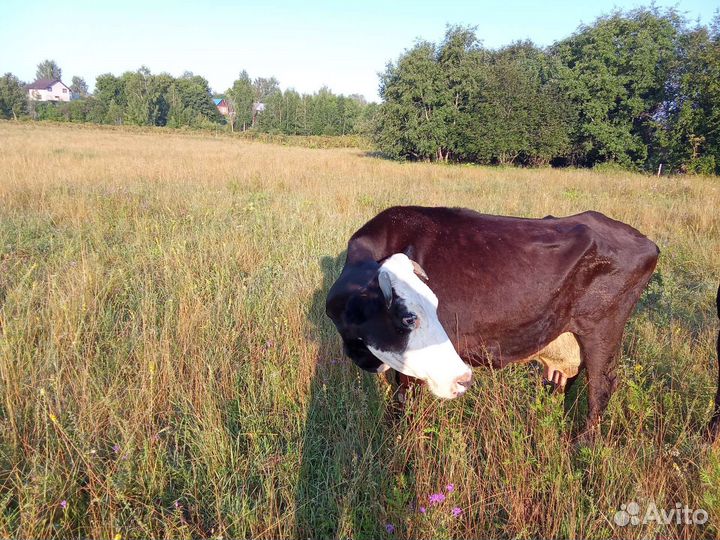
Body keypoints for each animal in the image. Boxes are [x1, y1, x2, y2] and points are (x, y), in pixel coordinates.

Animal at [325, 206, 660, 439]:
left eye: (435, 304)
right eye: (409, 317)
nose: (464, 378)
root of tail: (646, 241)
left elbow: (404, 405)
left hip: (601, 330)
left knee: (600, 389)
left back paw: (583, 446)